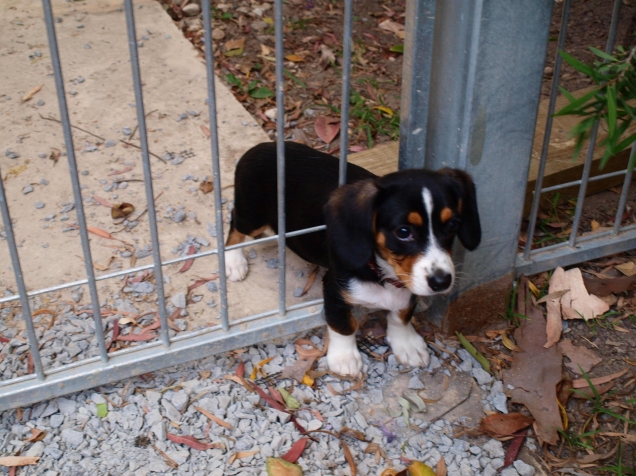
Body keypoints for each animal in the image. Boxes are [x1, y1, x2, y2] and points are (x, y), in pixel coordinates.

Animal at [226, 141, 480, 376]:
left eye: (452, 225)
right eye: (403, 232)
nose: (441, 282)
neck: (383, 271)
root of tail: (262, 146)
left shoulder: (408, 282)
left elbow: (402, 314)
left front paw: (407, 344)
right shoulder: (334, 288)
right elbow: (343, 325)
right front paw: (344, 358)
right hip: (251, 214)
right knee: (234, 225)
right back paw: (234, 261)